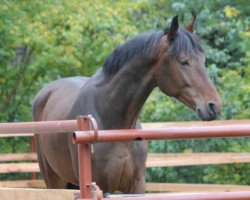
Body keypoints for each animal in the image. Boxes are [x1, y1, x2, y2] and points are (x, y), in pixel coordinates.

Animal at [32, 16, 221, 194]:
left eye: (203, 60)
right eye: (183, 61)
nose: (214, 106)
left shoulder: (137, 185)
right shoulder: (102, 187)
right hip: (54, 180)